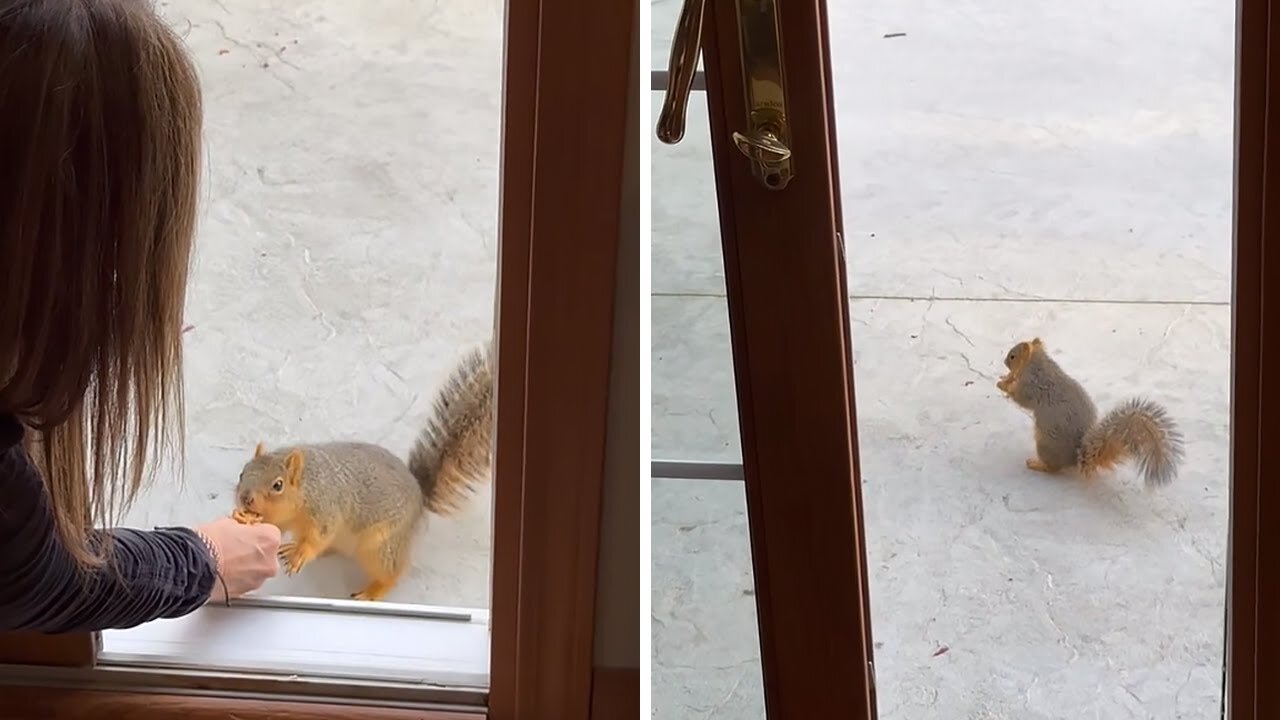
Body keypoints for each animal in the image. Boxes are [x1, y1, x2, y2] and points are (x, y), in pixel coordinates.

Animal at [227, 338, 491, 597]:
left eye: (278, 485)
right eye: (242, 473)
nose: (245, 498)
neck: (306, 488)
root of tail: (419, 495)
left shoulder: (326, 510)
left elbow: (318, 537)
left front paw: (300, 554)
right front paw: (245, 519)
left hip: (381, 547)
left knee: (392, 572)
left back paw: (372, 592)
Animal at [993, 338, 1182, 484]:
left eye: (1012, 356)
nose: (1004, 362)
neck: (1038, 364)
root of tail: (1075, 457)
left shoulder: (1032, 386)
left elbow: (1021, 399)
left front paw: (1003, 385)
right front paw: (1004, 379)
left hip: (1045, 446)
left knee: (1053, 468)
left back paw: (1036, 464)